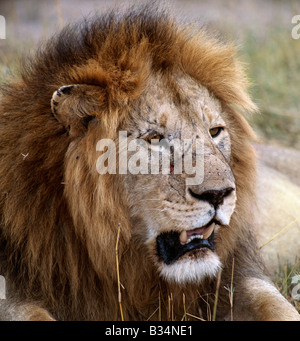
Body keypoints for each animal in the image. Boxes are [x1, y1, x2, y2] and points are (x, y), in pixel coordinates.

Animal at [0, 8, 298, 322]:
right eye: (154, 138)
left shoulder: (236, 275)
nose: (218, 194)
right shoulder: (14, 287)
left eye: (215, 131)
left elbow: (277, 306)